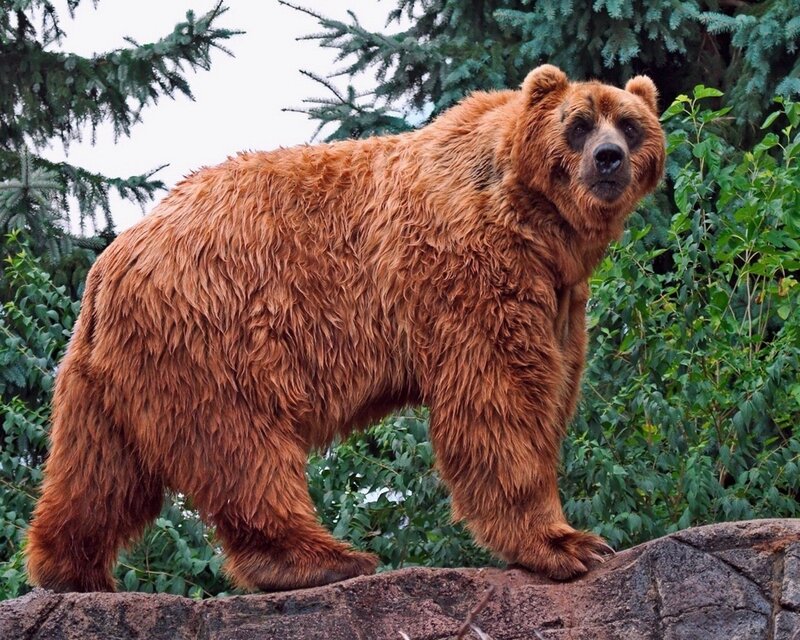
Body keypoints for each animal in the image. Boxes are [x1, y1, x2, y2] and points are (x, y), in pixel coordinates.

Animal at [25, 65, 665, 592]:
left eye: (631, 125)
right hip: (215, 327)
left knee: (101, 470)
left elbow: (551, 384)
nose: (609, 158)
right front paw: (568, 544)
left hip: (109, 371)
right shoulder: (471, 269)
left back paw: (70, 570)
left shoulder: (558, 293)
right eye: (578, 125)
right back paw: (324, 559)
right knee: (242, 445)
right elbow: (499, 398)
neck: (537, 223)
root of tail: (111, 263)